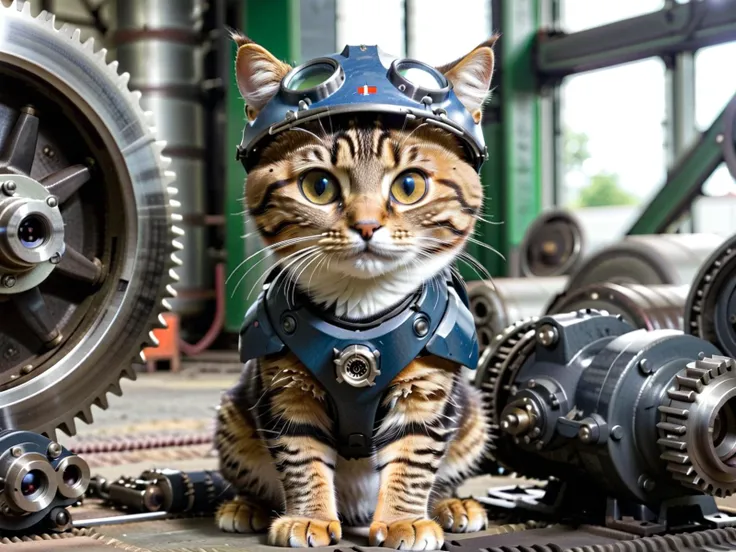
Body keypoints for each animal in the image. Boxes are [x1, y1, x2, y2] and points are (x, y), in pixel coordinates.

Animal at [216, 33, 498, 548]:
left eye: (409, 185)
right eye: (318, 186)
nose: (366, 226)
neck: (360, 312)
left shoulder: (429, 390)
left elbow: (413, 461)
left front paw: (405, 519)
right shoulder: (284, 387)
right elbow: (300, 456)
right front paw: (307, 516)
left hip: (472, 417)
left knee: (444, 474)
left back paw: (451, 505)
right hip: (233, 415)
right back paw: (246, 505)